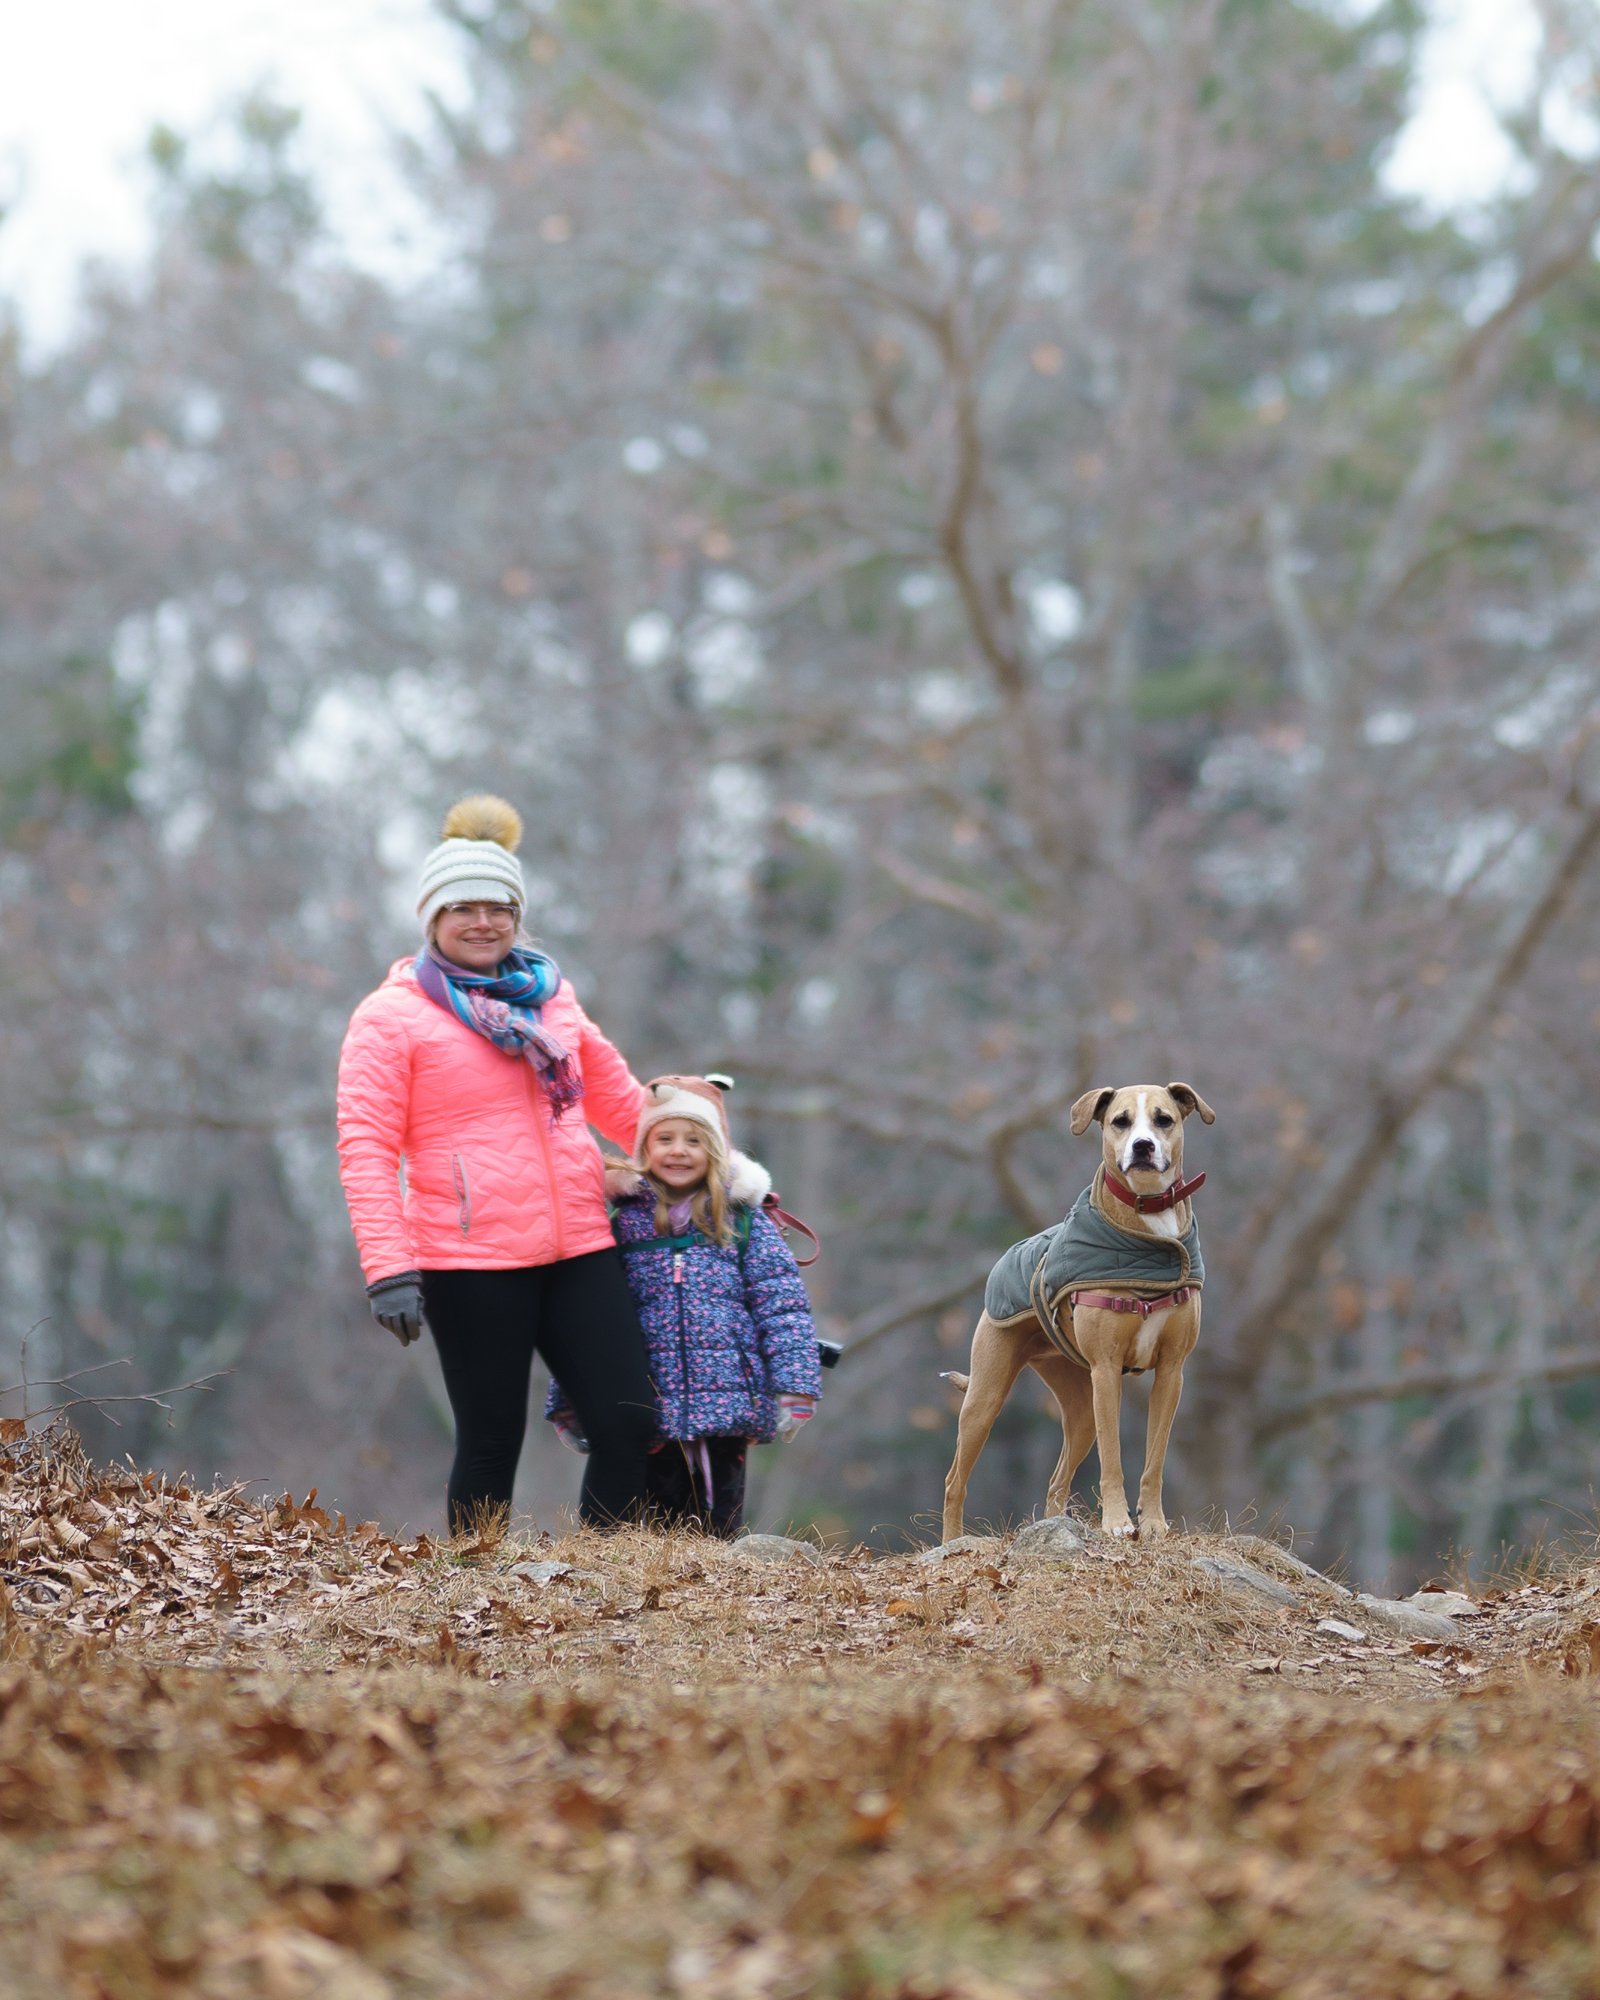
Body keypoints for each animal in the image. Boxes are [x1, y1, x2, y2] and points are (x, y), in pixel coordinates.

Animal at [936, 1088, 1216, 1536]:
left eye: (1164, 1119)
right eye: (1120, 1121)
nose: (1142, 1146)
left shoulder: (1172, 1372)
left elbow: (1154, 1459)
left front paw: (1153, 1524)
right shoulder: (1106, 1370)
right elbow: (1113, 1458)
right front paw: (1117, 1523)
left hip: (1080, 1410)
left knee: (1056, 1480)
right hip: (985, 1398)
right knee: (954, 1482)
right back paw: (951, 1541)